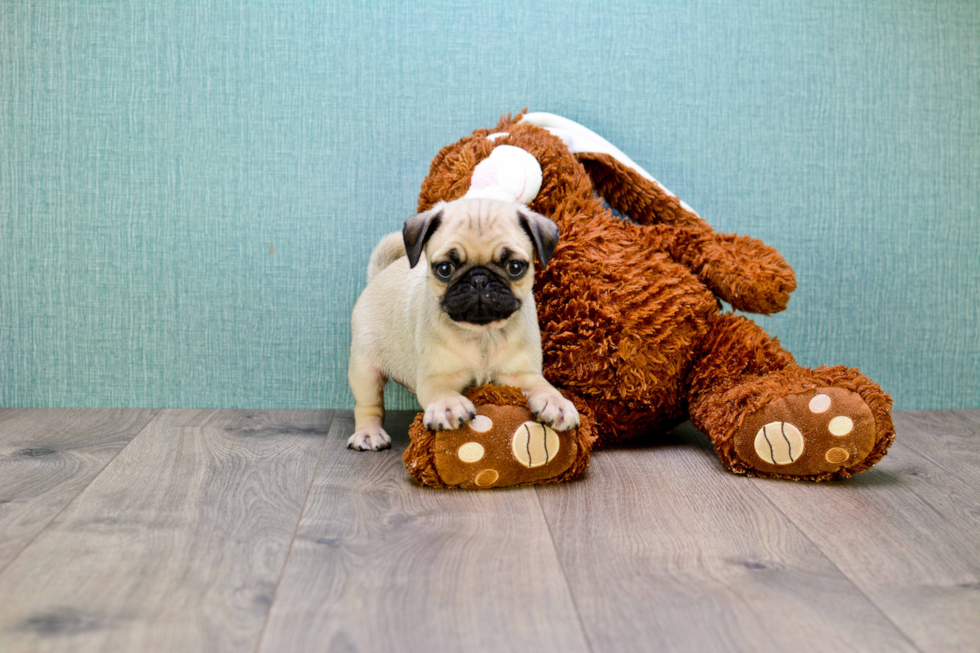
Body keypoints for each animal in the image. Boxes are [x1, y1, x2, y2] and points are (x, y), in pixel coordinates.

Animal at [350, 197, 580, 448]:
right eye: (444, 269)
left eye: (515, 267)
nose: (479, 278)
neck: (483, 333)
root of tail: (377, 276)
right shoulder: (437, 376)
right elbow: (441, 391)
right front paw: (449, 405)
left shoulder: (521, 375)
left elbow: (543, 386)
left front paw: (556, 402)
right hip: (364, 368)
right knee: (368, 405)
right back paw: (369, 434)